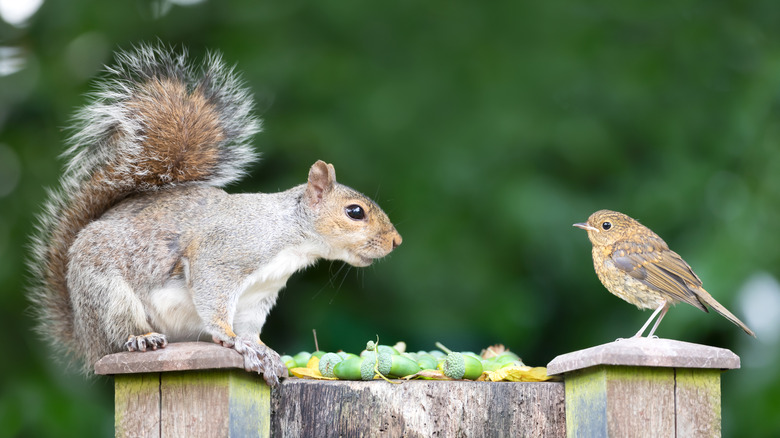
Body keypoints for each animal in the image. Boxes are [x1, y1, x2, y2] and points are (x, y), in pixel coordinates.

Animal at [27, 44, 402, 386]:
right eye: (355, 212)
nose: (396, 241)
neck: (290, 238)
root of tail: (83, 337)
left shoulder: (259, 294)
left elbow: (250, 326)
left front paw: (262, 348)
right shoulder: (221, 255)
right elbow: (214, 301)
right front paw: (230, 338)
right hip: (104, 288)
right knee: (118, 327)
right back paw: (140, 337)